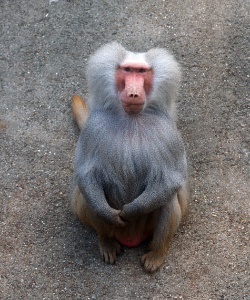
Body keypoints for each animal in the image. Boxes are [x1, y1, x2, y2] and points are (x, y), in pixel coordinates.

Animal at [70, 42, 188, 274]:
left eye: (141, 72)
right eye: (127, 70)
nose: (133, 93)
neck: (131, 118)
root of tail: (130, 238)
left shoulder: (168, 133)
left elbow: (171, 180)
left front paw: (130, 211)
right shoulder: (93, 128)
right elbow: (86, 175)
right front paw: (108, 214)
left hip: (148, 230)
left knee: (168, 199)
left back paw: (156, 254)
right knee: (88, 196)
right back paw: (106, 242)